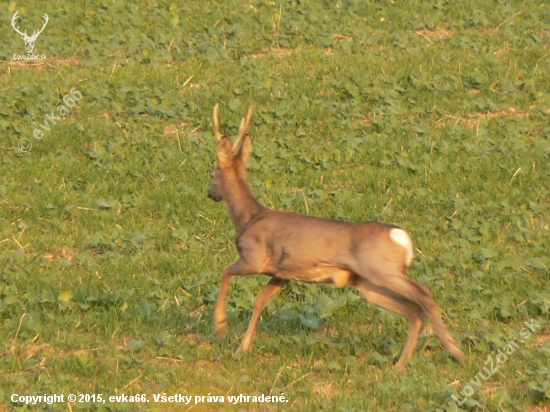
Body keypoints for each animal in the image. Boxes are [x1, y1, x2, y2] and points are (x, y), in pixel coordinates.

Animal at [207, 103, 466, 366]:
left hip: (380, 270)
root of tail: (402, 237)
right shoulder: (282, 274)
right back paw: (401, 365)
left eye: (212, 173)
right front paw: (243, 348)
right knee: (414, 312)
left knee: (424, 294)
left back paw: (455, 351)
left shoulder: (254, 258)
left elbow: (225, 272)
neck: (248, 218)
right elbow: (259, 301)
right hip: (369, 284)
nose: (210, 193)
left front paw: (221, 328)